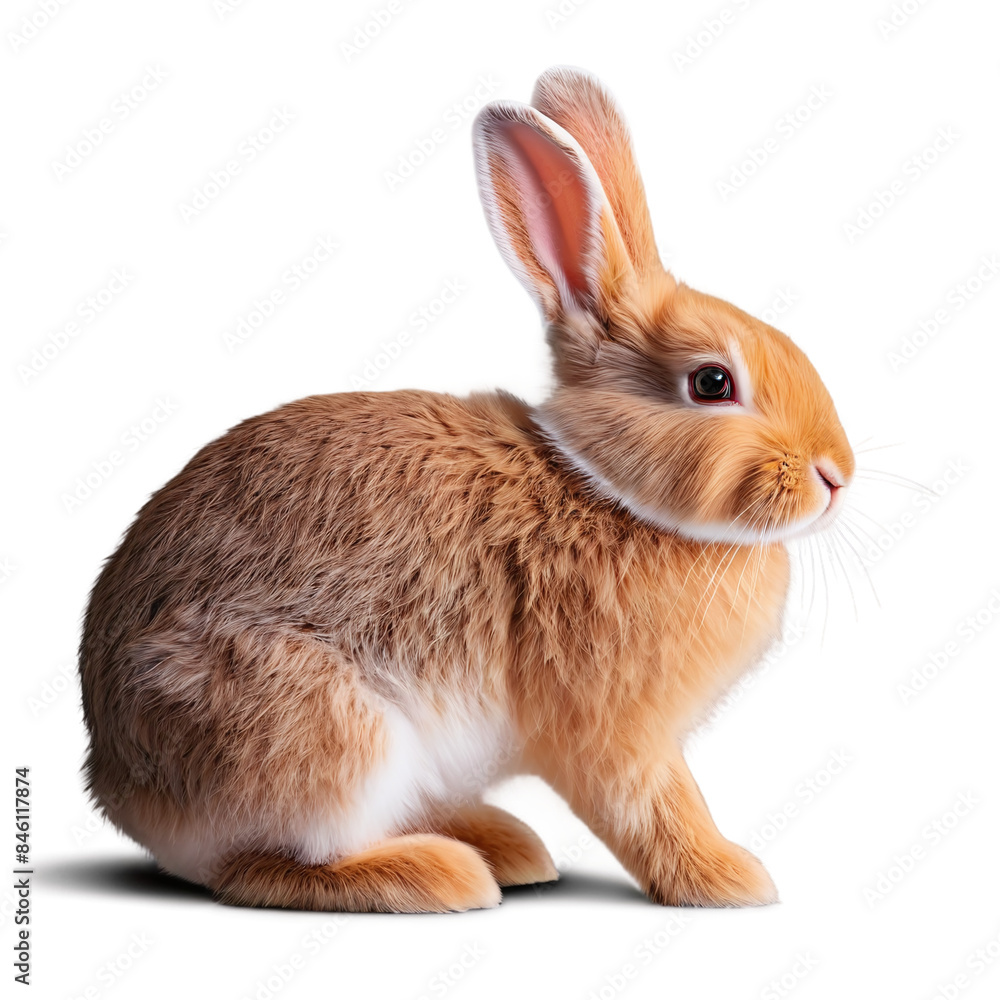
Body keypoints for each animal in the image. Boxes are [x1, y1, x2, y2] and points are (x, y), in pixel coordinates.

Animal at [79, 66, 854, 913]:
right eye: (712, 382)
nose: (836, 475)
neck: (604, 488)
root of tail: (118, 786)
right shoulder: (615, 731)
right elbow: (653, 807)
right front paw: (730, 879)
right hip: (325, 732)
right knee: (264, 867)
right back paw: (442, 876)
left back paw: (505, 845)